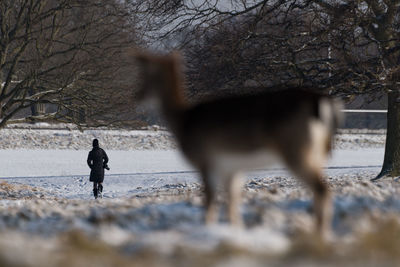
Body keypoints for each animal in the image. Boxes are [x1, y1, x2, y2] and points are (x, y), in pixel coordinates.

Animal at [134, 50, 340, 239]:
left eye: (147, 75)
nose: (138, 95)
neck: (183, 121)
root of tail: (322, 103)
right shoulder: (231, 169)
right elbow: (232, 206)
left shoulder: (206, 161)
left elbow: (210, 203)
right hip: (317, 151)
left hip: (296, 148)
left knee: (321, 189)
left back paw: (320, 236)